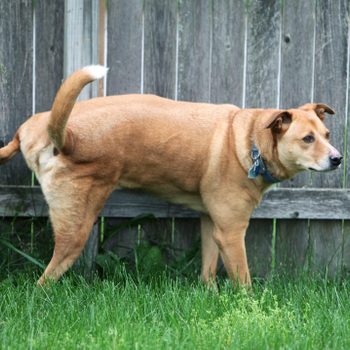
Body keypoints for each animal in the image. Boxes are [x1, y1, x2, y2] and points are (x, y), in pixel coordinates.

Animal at [1, 66, 344, 288]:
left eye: (326, 135)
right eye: (307, 139)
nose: (338, 158)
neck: (250, 140)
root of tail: (61, 134)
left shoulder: (213, 224)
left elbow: (208, 272)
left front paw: (210, 297)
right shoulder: (232, 232)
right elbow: (243, 282)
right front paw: (250, 313)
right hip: (76, 227)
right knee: (43, 281)